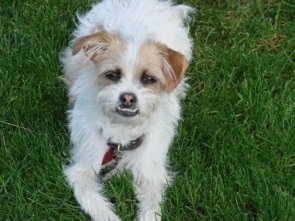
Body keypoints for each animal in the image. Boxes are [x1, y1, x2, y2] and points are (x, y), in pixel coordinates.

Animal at [60, 0, 194, 221]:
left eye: (149, 79)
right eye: (112, 75)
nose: (128, 98)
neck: (122, 130)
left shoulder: (150, 171)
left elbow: (151, 207)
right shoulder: (83, 168)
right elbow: (92, 199)